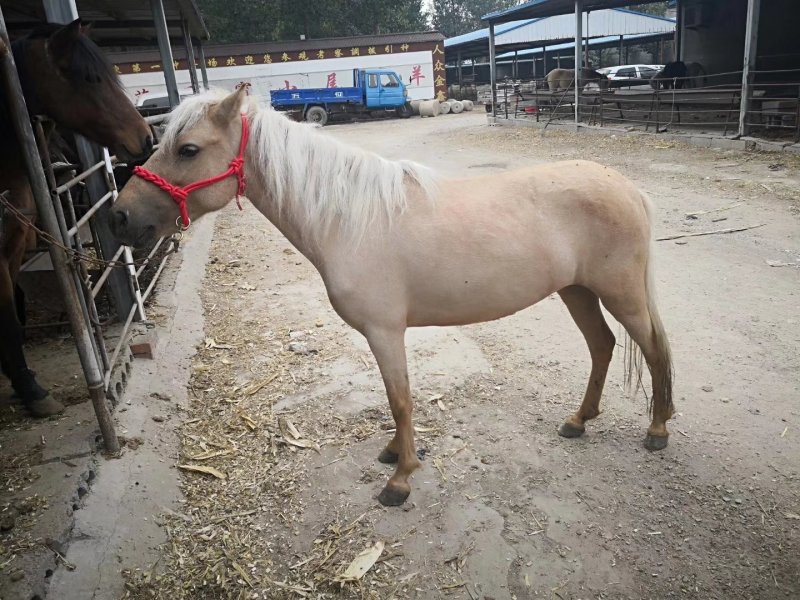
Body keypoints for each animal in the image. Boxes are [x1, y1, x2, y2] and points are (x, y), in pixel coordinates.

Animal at [0, 20, 153, 417]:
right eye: (88, 77)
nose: (147, 137)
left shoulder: (13, 247)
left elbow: (9, 321)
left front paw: (24, 384)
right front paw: (32, 391)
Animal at [110, 87, 674, 507]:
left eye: (188, 149)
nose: (119, 216)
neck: (347, 218)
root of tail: (627, 187)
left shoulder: (385, 332)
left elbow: (399, 400)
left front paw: (400, 479)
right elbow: (393, 401)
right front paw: (392, 454)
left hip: (620, 294)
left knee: (653, 350)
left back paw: (657, 430)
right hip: (577, 291)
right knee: (602, 346)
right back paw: (579, 421)